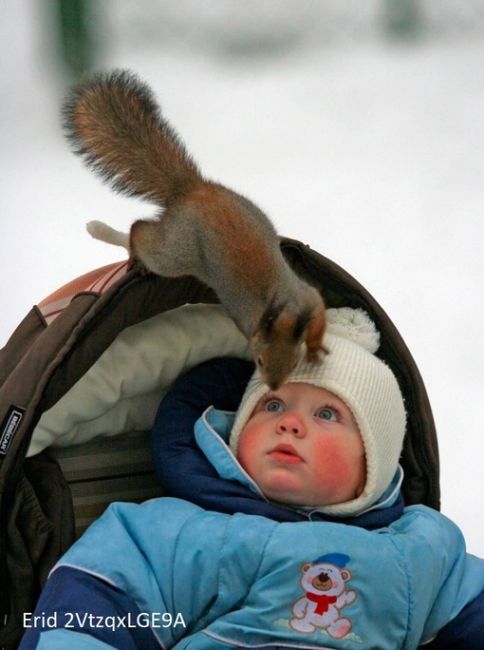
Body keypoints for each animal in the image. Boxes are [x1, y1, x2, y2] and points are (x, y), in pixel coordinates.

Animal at [62, 69, 324, 390]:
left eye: (294, 362)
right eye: (259, 360)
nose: (274, 386)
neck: (284, 309)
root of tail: (192, 191)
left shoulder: (308, 298)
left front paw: (317, 347)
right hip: (174, 250)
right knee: (140, 232)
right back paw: (134, 251)